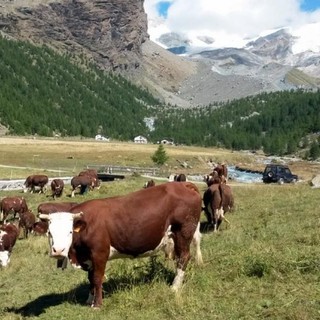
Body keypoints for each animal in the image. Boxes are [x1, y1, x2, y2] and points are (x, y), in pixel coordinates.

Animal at [40, 180, 204, 308]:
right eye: (50, 232)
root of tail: (183, 184)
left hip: (183, 232)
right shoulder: (89, 257)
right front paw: (89, 299)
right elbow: (90, 278)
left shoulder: (100, 253)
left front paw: (97, 304)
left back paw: (175, 287)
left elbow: (97, 278)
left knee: (183, 257)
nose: (58, 250)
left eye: (70, 232)